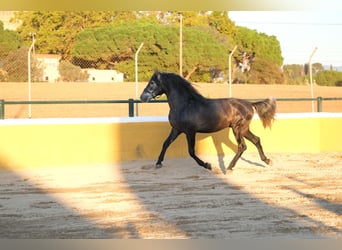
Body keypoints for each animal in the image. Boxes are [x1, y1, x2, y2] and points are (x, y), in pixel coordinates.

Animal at [140, 70, 276, 172]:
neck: (184, 105)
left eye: (152, 82)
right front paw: (158, 163)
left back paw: (229, 168)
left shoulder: (190, 131)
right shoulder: (176, 129)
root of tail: (250, 104)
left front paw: (207, 165)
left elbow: (191, 151)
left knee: (242, 146)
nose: (142, 97)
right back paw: (267, 160)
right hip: (243, 129)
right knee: (256, 140)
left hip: (237, 129)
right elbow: (165, 143)